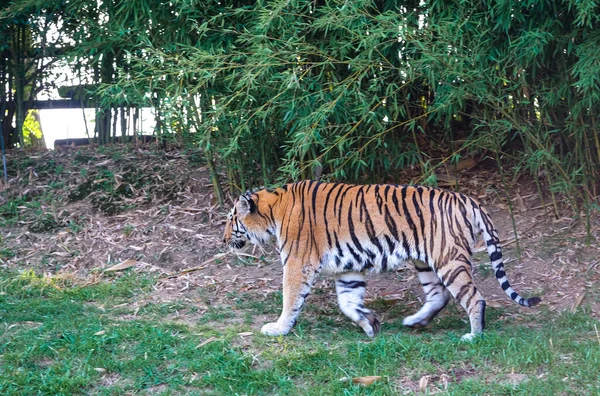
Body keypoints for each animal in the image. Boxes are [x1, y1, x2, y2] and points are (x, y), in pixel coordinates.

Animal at [223, 180, 540, 340]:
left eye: (230, 220)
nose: (223, 239)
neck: (273, 211)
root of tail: (468, 199)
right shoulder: (348, 269)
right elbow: (348, 301)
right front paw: (369, 323)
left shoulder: (297, 263)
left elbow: (290, 298)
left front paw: (278, 329)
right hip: (426, 261)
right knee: (439, 296)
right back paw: (414, 322)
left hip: (449, 259)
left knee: (474, 298)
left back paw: (473, 336)